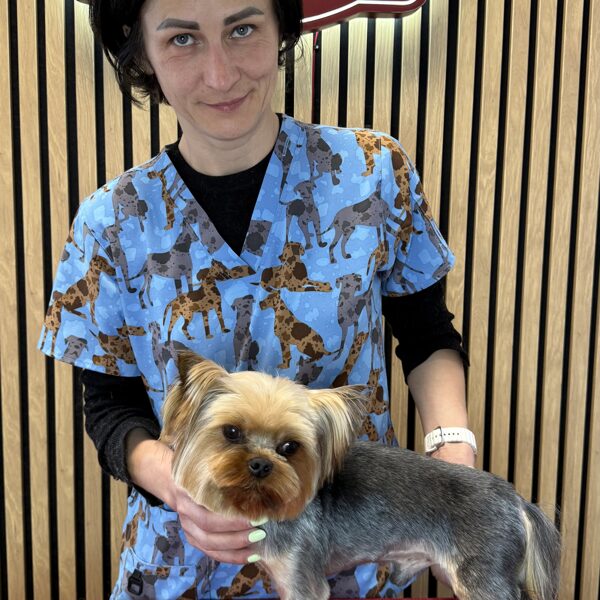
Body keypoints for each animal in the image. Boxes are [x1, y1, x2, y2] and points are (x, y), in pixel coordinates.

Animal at [160, 353, 561, 600]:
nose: (260, 465)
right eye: (231, 432)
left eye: (290, 446)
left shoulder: (301, 577)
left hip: (483, 577)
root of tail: (517, 501)